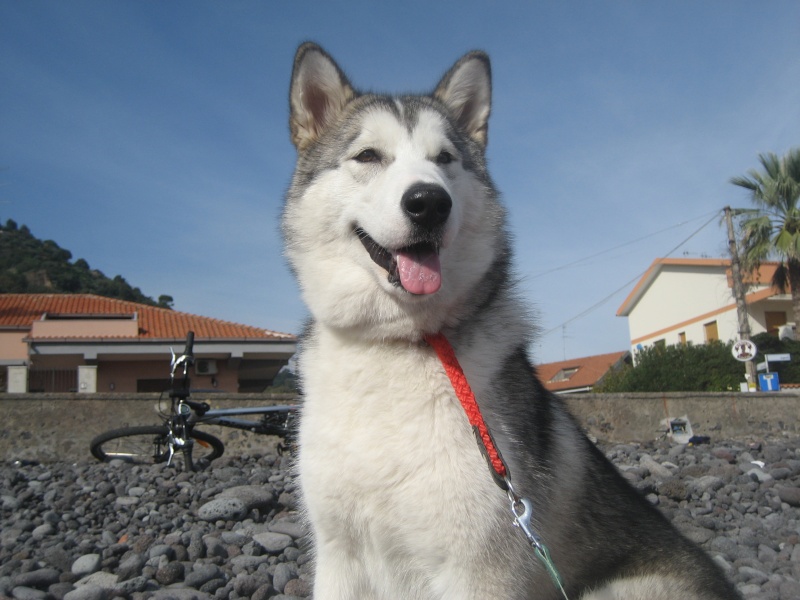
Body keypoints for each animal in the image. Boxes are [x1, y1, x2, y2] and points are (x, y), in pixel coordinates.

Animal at [280, 43, 736, 600]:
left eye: (444, 160)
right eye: (368, 156)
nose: (429, 202)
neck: (394, 346)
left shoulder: (480, 572)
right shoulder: (339, 556)